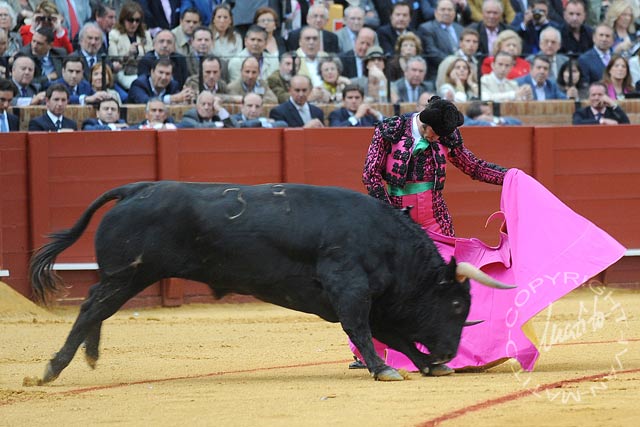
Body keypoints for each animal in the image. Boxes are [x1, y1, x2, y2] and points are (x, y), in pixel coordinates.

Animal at [28, 181, 516, 384]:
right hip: (128, 272)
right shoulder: (350, 289)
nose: (450, 352)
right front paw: (386, 369)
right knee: (92, 306)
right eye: (457, 306)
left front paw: (425, 365)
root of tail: (134, 189)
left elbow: (391, 334)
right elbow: (364, 331)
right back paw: (52, 368)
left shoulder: (376, 300)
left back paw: (89, 357)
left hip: (132, 274)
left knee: (99, 307)